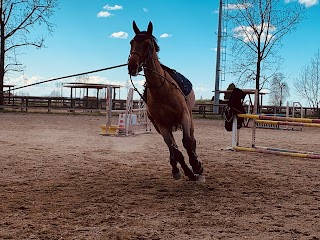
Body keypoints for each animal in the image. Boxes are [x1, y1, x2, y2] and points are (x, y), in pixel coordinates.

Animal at [127, 21, 202, 181]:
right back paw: (175, 168)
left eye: (148, 45)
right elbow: (176, 151)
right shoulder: (161, 125)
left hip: (189, 119)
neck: (161, 89)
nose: (132, 66)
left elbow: (187, 142)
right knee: (171, 148)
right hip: (160, 127)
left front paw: (197, 165)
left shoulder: (184, 116)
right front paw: (188, 172)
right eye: (131, 42)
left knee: (192, 140)